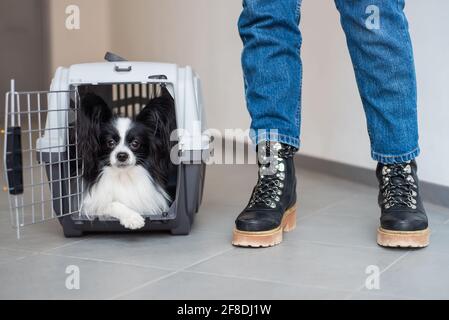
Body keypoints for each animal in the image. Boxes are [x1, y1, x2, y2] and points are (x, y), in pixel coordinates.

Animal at [77, 86, 175, 229]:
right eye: (110, 142)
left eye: (135, 143)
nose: (122, 155)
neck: (123, 176)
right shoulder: (91, 205)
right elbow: (113, 203)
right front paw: (132, 217)